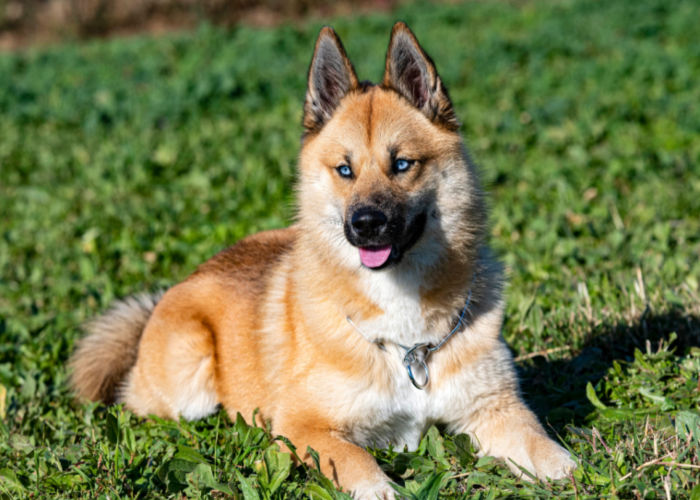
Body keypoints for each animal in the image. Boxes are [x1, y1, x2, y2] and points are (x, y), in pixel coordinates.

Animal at [68, 22, 576, 500]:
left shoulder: (495, 408)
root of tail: (174, 290)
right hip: (187, 381)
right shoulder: (303, 427)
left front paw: (570, 471)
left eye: (402, 164)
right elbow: (357, 462)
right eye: (345, 170)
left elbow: (549, 451)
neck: (406, 342)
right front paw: (379, 488)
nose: (366, 224)